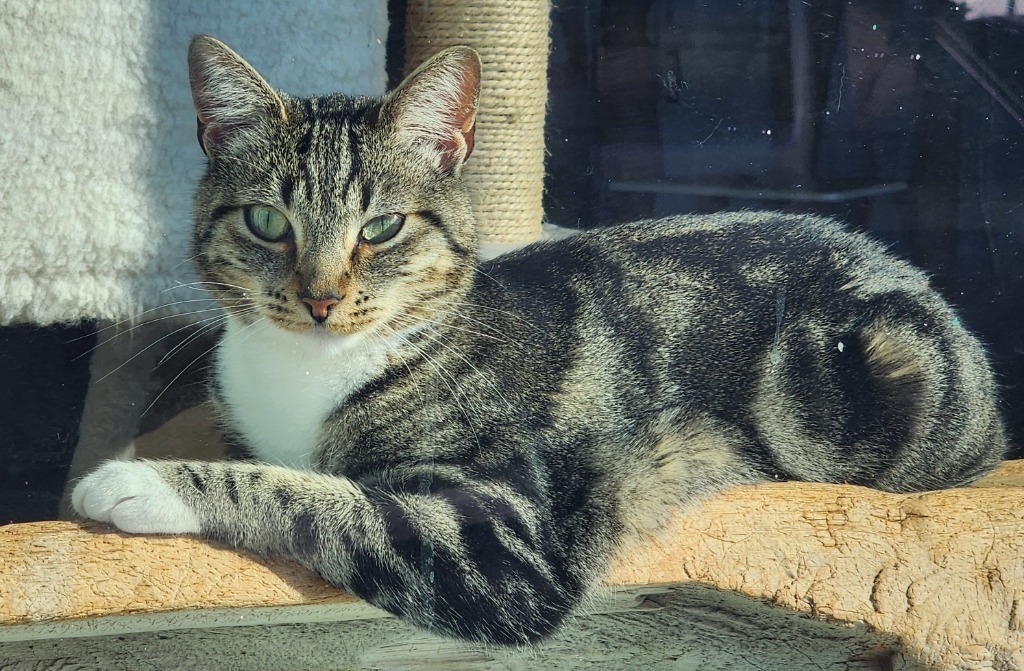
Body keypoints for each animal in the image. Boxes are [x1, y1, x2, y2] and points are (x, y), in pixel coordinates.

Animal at [72, 36, 1007, 647]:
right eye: (268, 222)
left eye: (381, 227)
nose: (321, 297)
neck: (308, 371)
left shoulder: (505, 541)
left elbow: (320, 498)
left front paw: (139, 483)